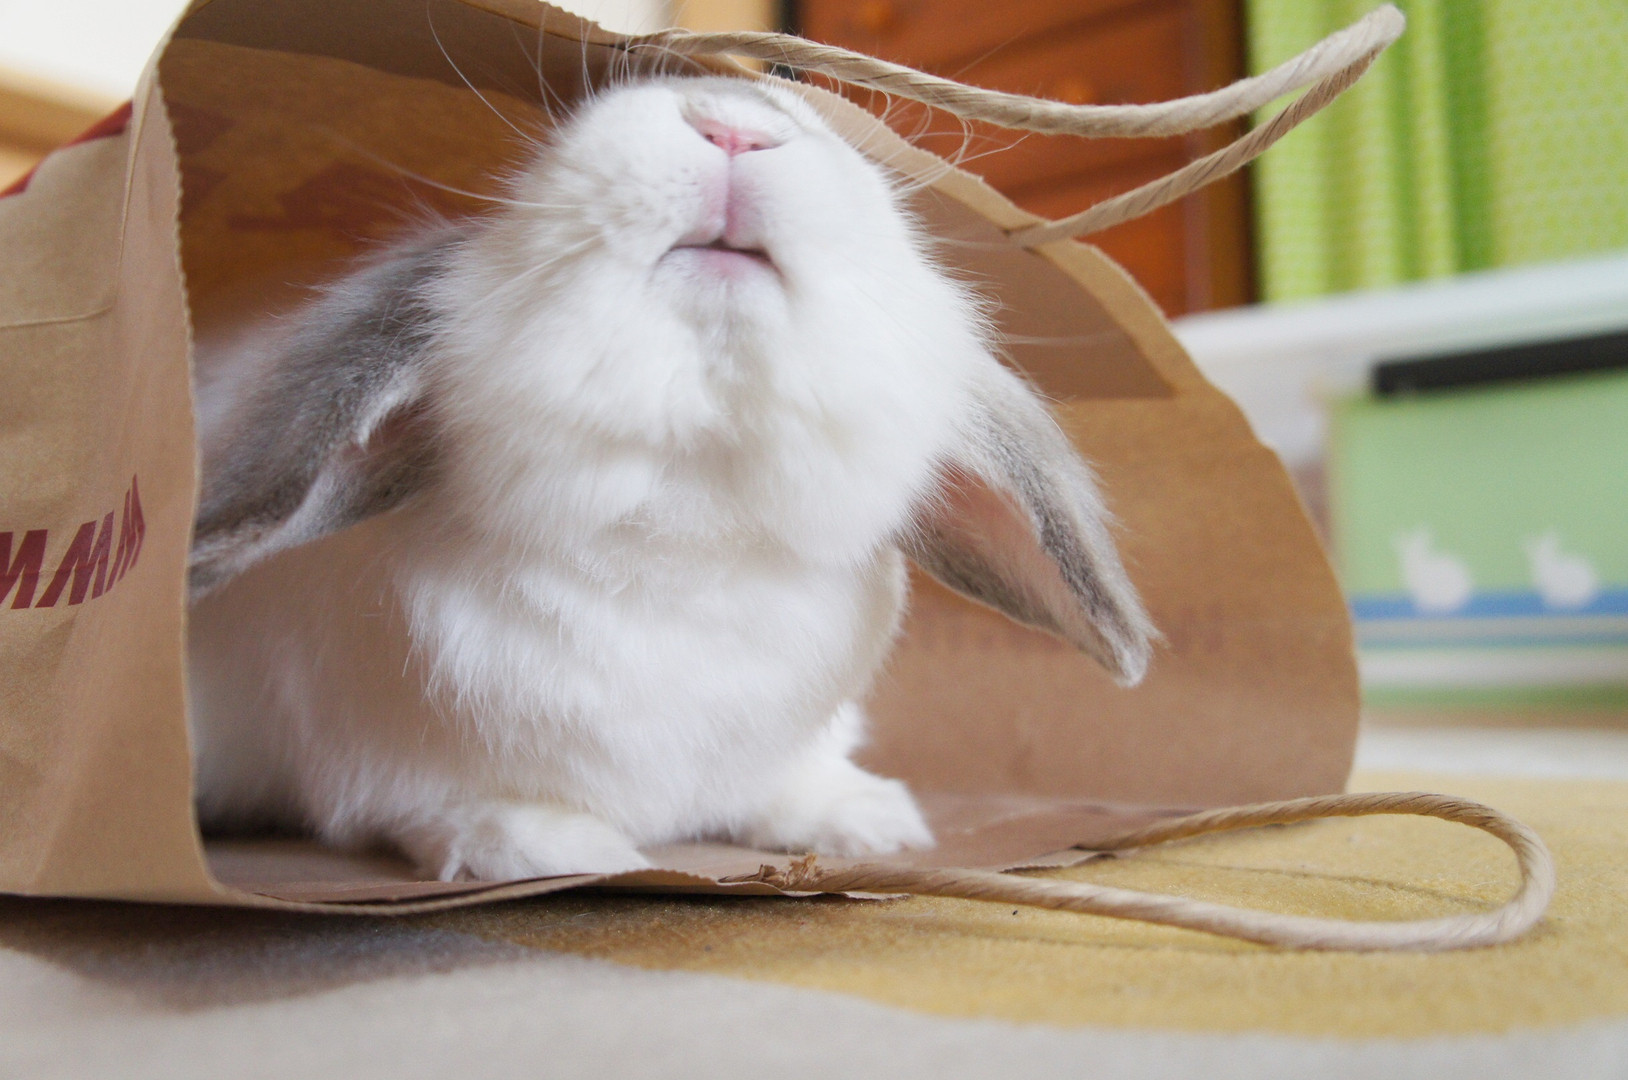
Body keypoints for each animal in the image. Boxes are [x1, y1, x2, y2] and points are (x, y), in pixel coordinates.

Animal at [185, 74, 1156, 883]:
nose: (733, 124)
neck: (688, 512)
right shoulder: (383, 767)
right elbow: (432, 807)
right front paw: (556, 848)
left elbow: (787, 783)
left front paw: (870, 820)